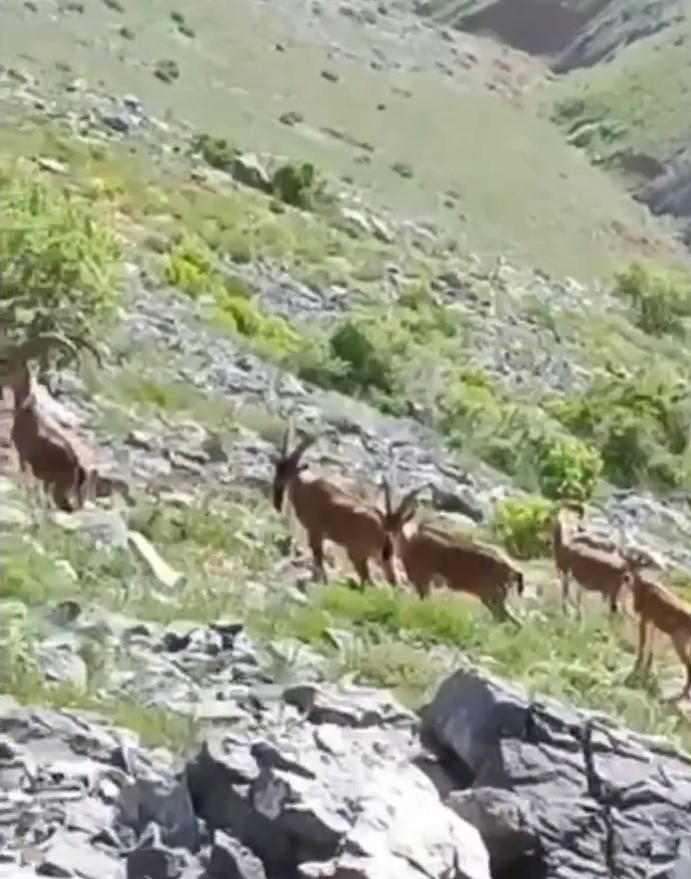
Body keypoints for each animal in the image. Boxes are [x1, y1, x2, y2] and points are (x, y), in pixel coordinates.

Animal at [272, 422, 398, 588]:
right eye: (278, 467)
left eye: (289, 470)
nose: (277, 492)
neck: (306, 488)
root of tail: (385, 530)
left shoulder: (315, 530)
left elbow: (318, 555)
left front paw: (317, 580)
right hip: (382, 558)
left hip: (359, 553)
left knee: (369, 579)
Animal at [378, 482, 524, 624]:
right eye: (385, 522)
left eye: (399, 523)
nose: (388, 540)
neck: (411, 545)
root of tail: (511, 570)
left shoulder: (423, 579)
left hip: (491, 594)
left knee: (504, 618)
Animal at [620, 552, 691, 704]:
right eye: (626, 565)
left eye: (636, 568)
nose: (625, 577)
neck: (642, 590)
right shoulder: (654, 623)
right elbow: (651, 646)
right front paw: (647, 669)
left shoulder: (645, 617)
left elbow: (642, 643)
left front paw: (637, 667)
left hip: (679, 640)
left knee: (688, 664)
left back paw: (681, 694)